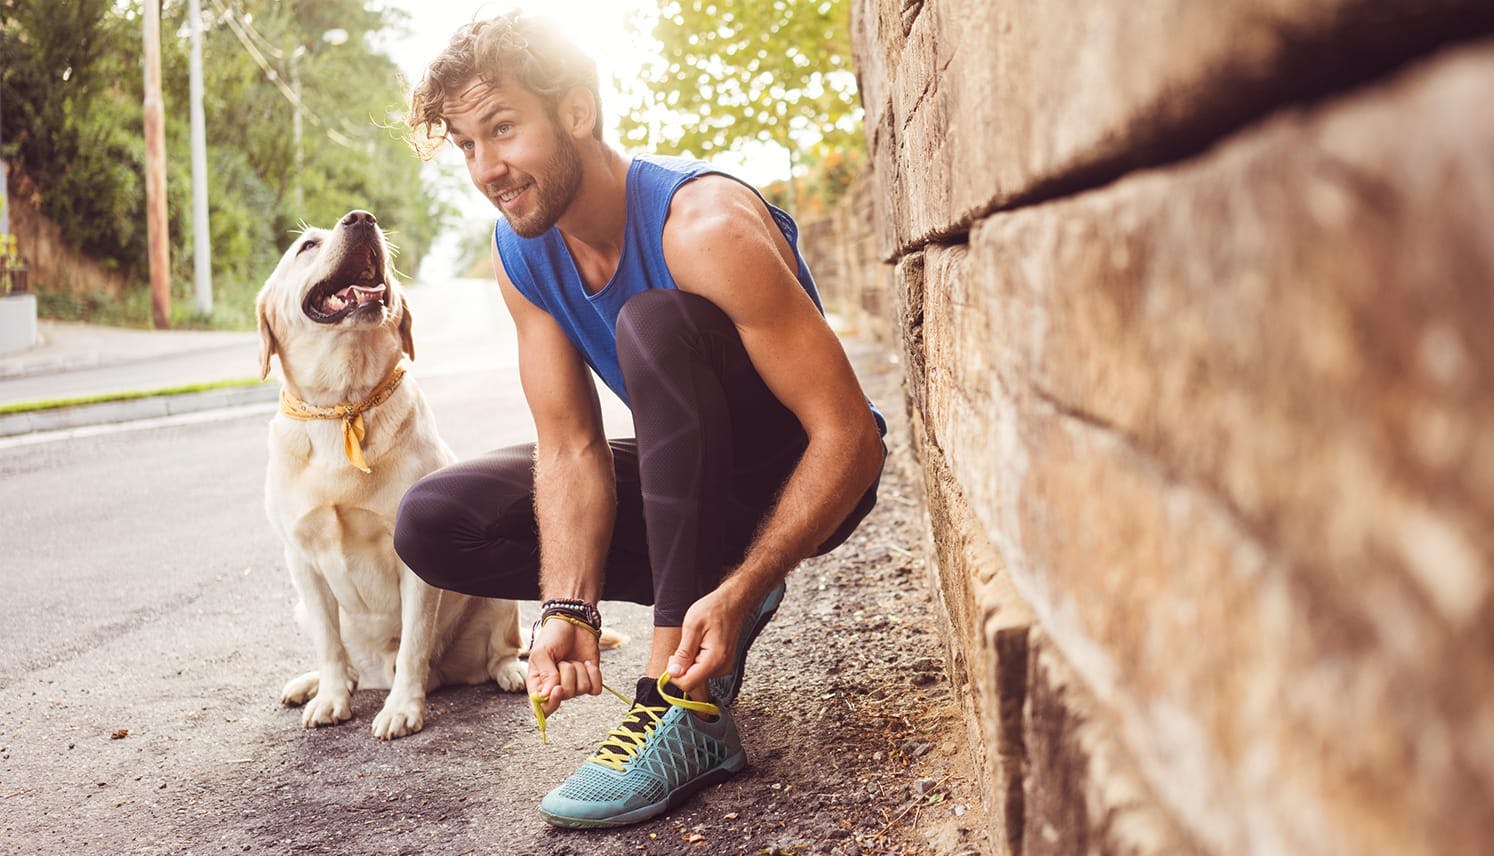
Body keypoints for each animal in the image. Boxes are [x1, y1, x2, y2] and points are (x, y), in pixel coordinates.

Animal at [259, 210, 528, 737]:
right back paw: (314, 684)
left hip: (495, 597)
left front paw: (403, 707)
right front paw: (330, 698)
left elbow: (413, 645)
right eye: (307, 246)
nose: (361, 218)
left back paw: (512, 673)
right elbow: (329, 643)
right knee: (345, 662)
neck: (343, 404)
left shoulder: (413, 562)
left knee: (500, 651)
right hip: (303, 607)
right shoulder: (300, 560)